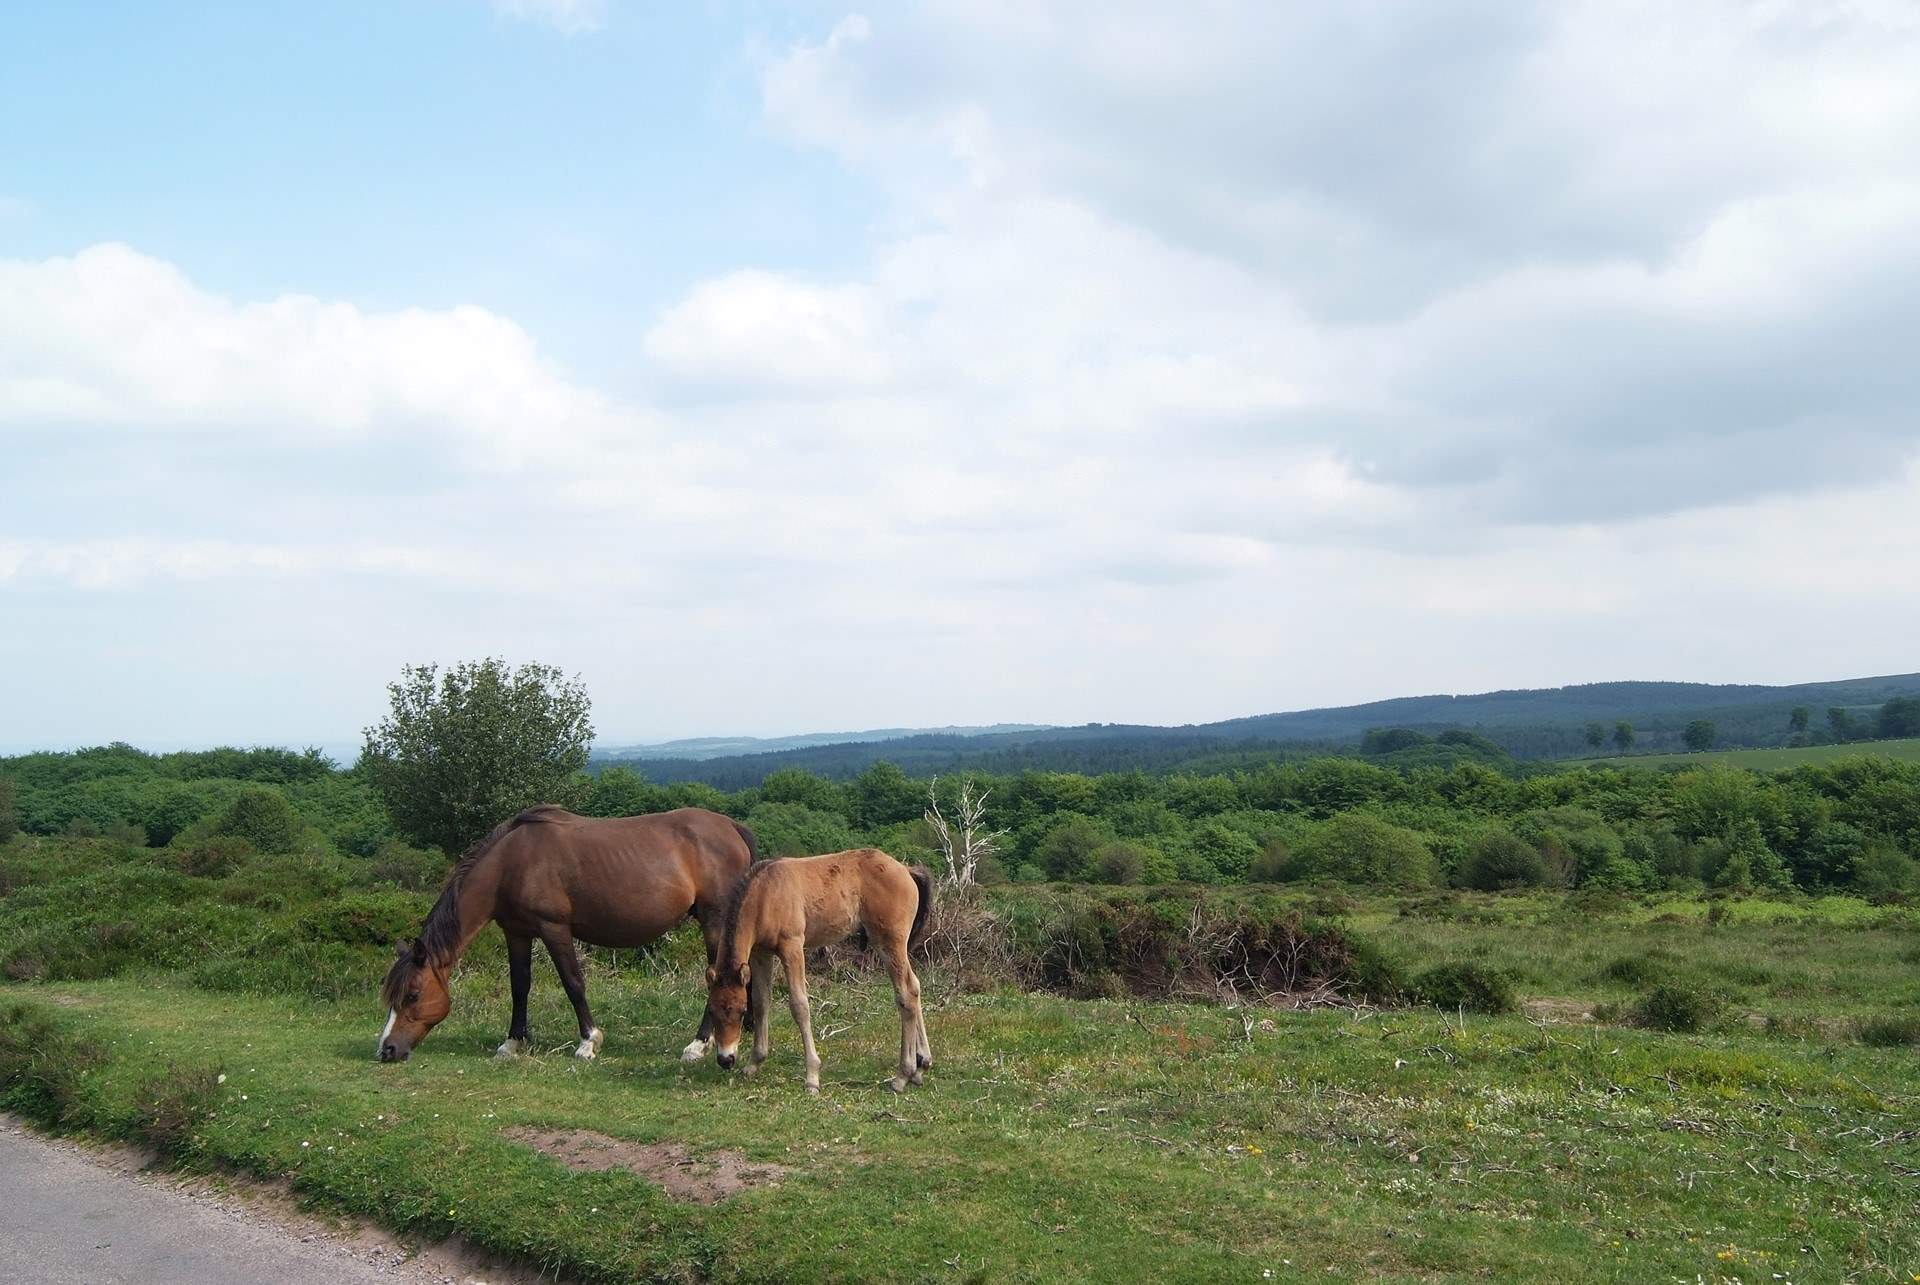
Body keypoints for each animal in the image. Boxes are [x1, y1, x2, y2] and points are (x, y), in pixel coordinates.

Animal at [377, 805, 753, 1063]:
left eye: (412, 994)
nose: (386, 1050)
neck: (510, 863)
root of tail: (732, 828)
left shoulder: (554, 928)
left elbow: (573, 983)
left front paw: (589, 1041)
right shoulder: (516, 932)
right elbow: (519, 986)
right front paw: (513, 1042)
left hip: (713, 920)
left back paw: (698, 1044)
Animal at [703, 848, 933, 1094]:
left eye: (740, 1011)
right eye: (712, 1012)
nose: (725, 1059)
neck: (765, 894)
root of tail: (906, 870)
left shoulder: (792, 947)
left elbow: (799, 1006)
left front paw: (812, 1077)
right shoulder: (761, 953)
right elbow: (761, 1001)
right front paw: (754, 1063)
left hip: (889, 942)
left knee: (906, 994)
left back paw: (903, 1075)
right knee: (915, 986)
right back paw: (921, 1066)